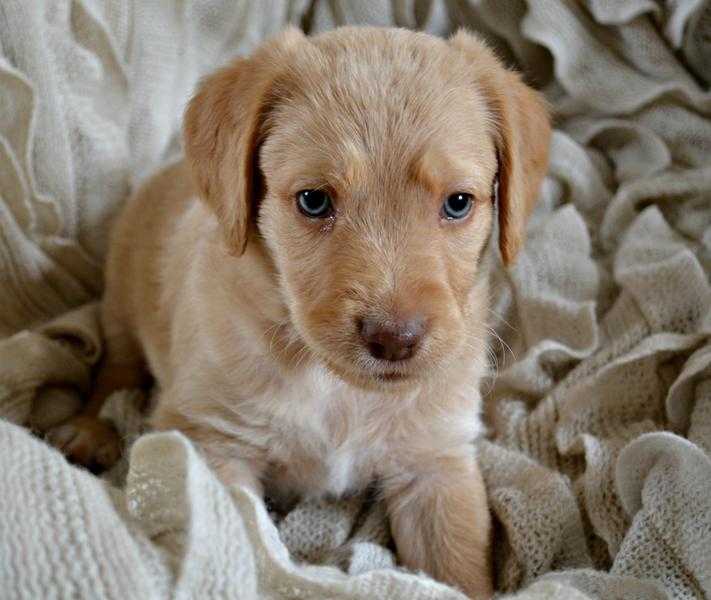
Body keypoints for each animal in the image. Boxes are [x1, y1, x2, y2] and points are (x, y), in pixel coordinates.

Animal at [50, 25, 552, 596]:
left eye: (459, 202)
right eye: (314, 200)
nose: (394, 339)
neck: (337, 388)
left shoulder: (435, 463)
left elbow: (458, 569)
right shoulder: (209, 439)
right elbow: (243, 541)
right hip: (122, 298)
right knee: (113, 370)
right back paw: (89, 429)